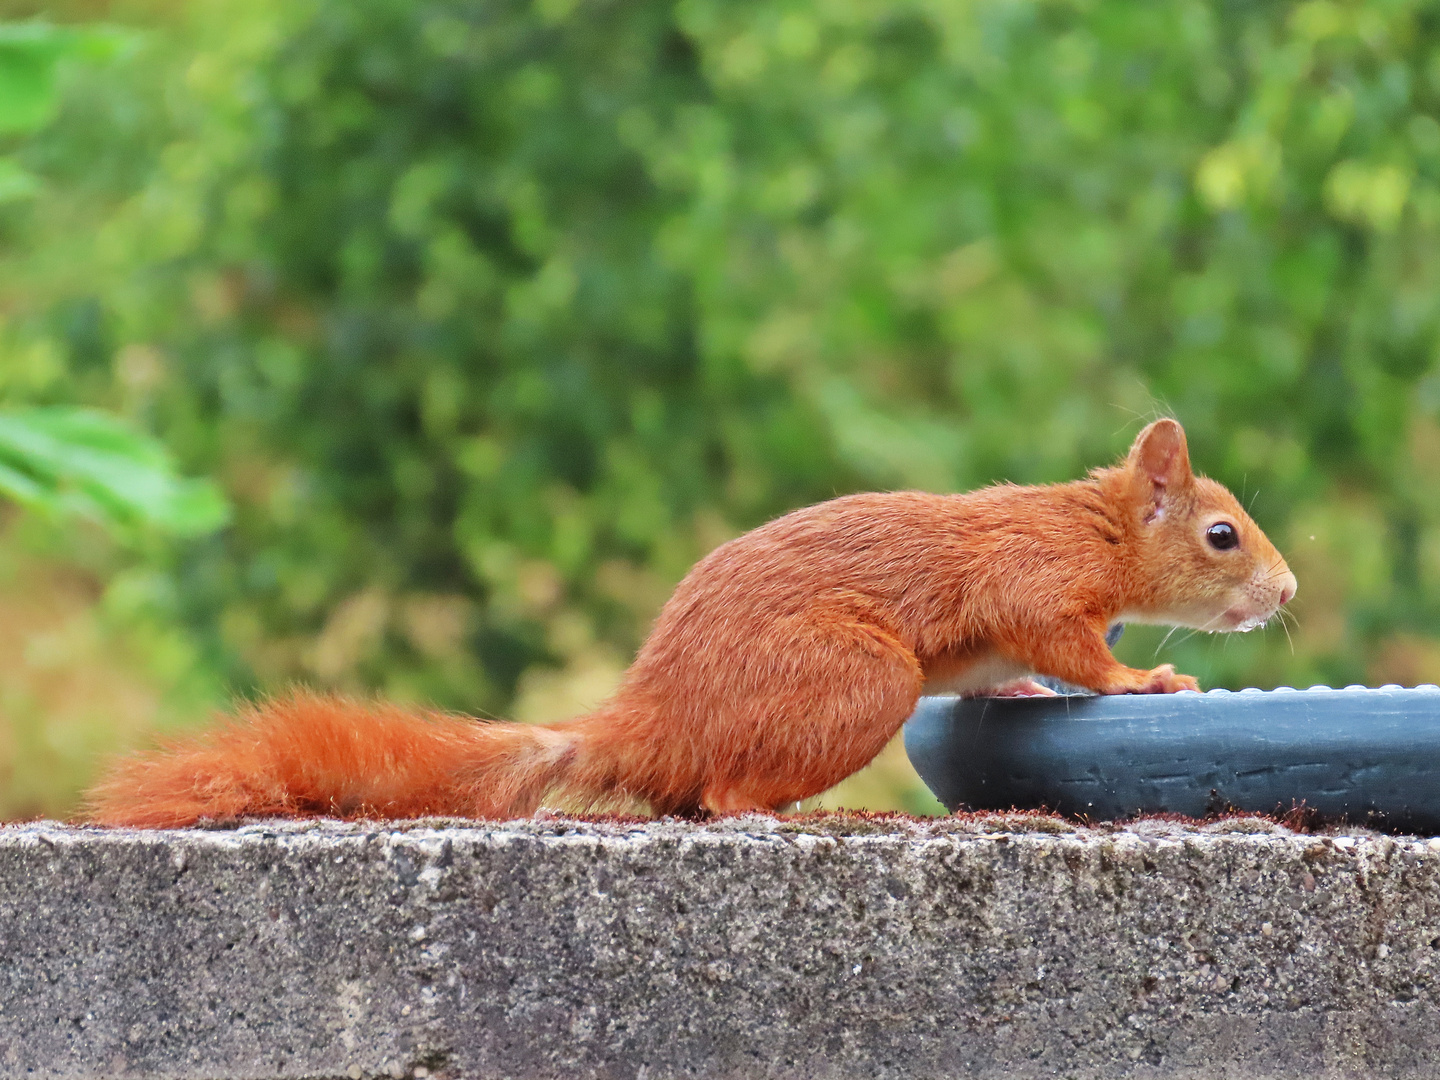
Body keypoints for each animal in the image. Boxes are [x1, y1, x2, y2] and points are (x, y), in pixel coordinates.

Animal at [95, 423, 1301, 829]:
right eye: (1223, 536)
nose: (1287, 594)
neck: (1087, 528)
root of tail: (653, 718)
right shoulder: (1033, 587)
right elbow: (1074, 653)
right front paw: (1145, 684)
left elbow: (1009, 673)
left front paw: (1011, 690)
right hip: (857, 682)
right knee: (722, 794)